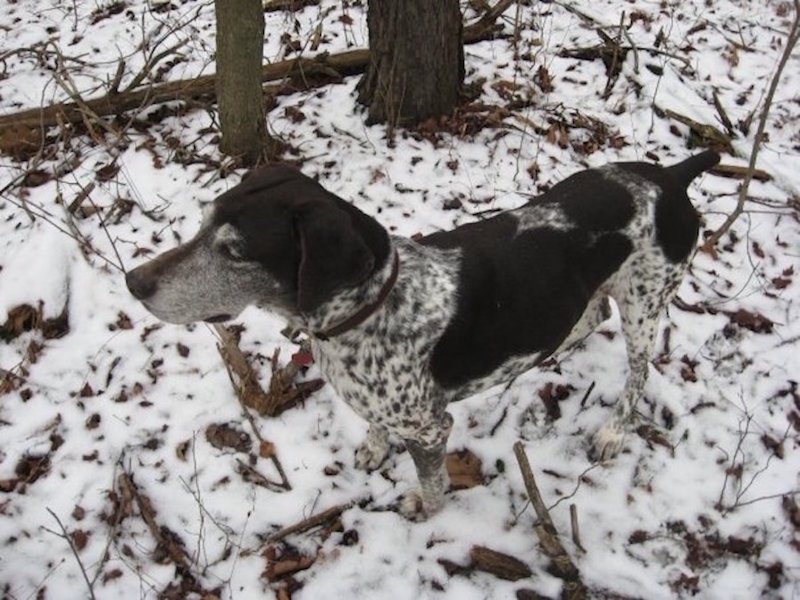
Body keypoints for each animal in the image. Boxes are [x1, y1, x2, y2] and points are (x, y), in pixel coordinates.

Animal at [126, 150, 720, 520]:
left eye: (235, 251)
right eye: (203, 223)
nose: (133, 281)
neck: (369, 308)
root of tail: (672, 175)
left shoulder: (432, 428)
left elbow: (433, 482)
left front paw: (425, 509)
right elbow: (374, 427)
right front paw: (373, 448)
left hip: (646, 301)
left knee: (639, 370)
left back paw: (614, 430)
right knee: (591, 316)